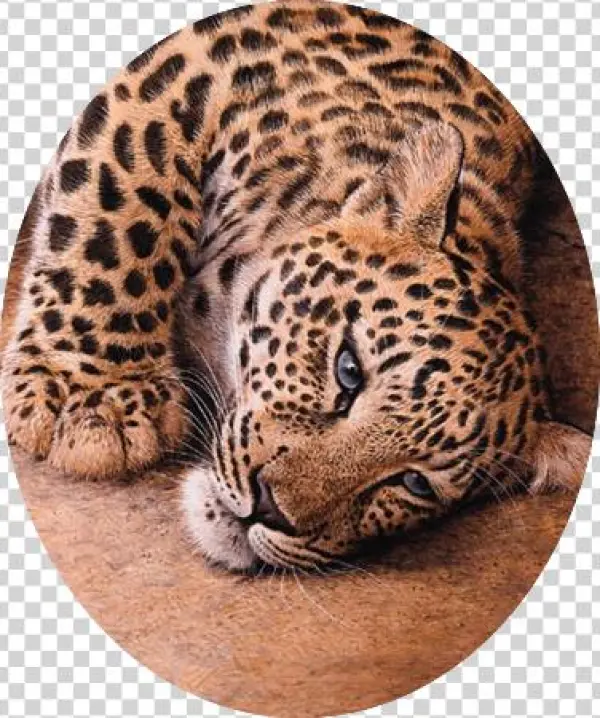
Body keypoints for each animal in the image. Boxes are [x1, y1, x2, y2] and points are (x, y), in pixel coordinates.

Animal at [1, 0, 591, 572]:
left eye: (414, 482)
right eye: (348, 370)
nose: (270, 508)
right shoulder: (182, 73)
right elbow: (124, 199)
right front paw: (93, 401)